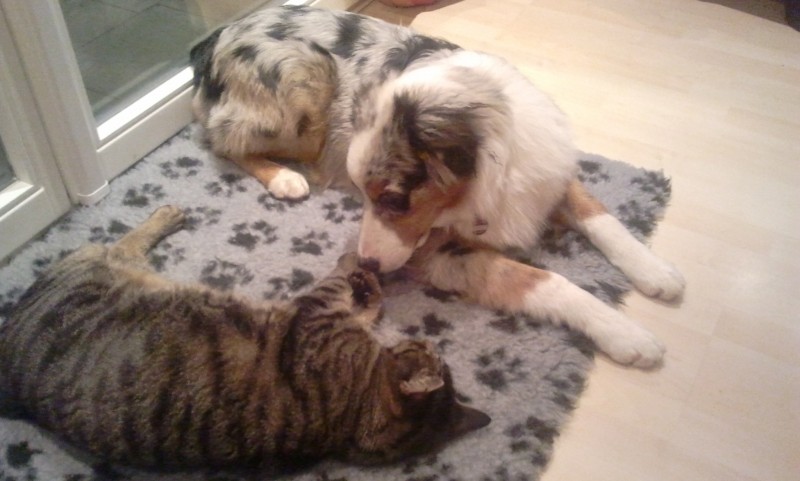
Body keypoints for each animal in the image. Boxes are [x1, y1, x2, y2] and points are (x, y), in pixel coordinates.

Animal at [0, 205, 489, 469]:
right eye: (431, 350)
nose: (431, 345)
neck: (352, 417)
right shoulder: (329, 314)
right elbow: (362, 297)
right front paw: (367, 276)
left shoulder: (315, 310)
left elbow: (340, 282)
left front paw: (358, 265)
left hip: (102, 267)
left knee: (124, 245)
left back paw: (163, 216)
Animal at [190, 6, 685, 368]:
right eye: (363, 195)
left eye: (394, 199)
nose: (366, 263)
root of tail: (218, 34)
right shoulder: (438, 252)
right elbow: (543, 279)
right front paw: (625, 332)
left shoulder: (547, 170)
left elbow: (598, 213)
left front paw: (654, 271)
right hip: (306, 78)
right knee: (218, 137)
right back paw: (285, 176)